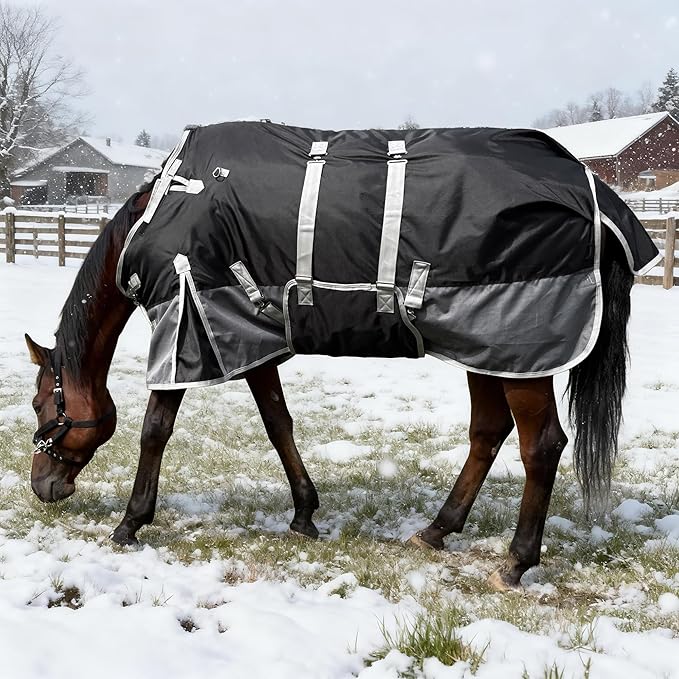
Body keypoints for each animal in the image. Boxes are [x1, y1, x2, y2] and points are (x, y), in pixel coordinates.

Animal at [25, 122, 652, 591]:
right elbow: (278, 422)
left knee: (540, 446)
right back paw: (437, 530)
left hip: (521, 351)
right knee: (488, 432)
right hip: (488, 348)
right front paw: (304, 513)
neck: (166, 207)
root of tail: (594, 194)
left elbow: (155, 429)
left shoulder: (186, 324)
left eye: (40, 405)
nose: (41, 487)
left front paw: (131, 522)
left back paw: (516, 561)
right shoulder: (246, 334)